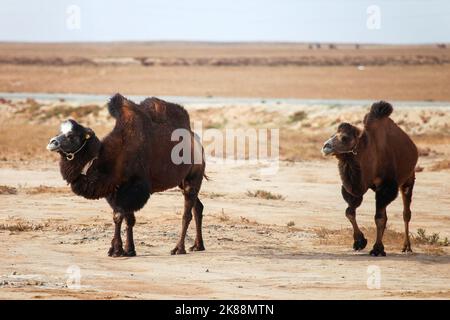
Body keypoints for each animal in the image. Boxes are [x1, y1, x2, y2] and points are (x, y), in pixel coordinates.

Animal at [47, 94, 206, 258]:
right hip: (182, 182)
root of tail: (196, 142)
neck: (113, 157)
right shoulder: (115, 189)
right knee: (198, 207)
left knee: (187, 214)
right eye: (59, 131)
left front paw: (116, 250)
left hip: (193, 177)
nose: (52, 142)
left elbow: (119, 216)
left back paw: (179, 248)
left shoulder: (133, 188)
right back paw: (198, 246)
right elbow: (128, 218)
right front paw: (129, 250)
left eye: (71, 135)